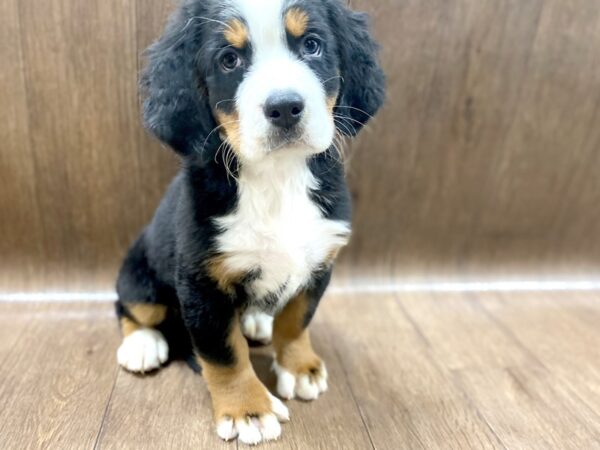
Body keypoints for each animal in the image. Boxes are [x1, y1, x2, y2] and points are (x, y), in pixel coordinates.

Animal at [113, 0, 384, 442]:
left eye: (312, 45)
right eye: (229, 60)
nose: (285, 107)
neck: (278, 180)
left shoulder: (318, 263)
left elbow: (296, 320)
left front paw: (299, 367)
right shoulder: (202, 283)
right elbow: (225, 354)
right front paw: (248, 410)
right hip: (139, 270)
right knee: (130, 306)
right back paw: (142, 345)